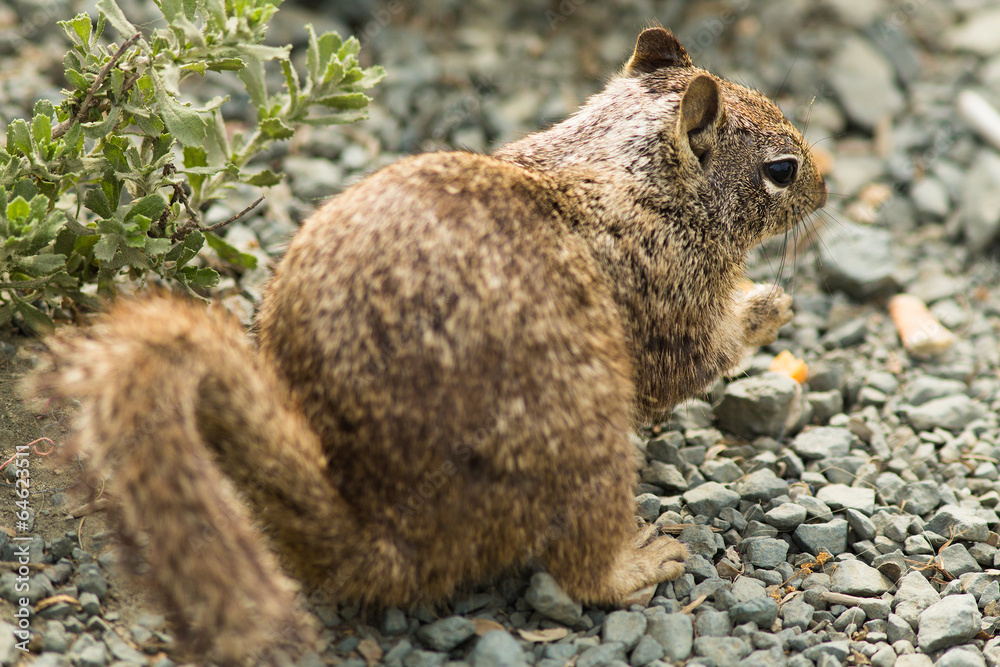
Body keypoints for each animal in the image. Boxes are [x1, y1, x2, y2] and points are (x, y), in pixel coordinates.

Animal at [31, 27, 828, 667]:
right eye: (781, 169)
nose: (827, 185)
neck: (624, 167)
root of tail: (385, 539)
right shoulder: (666, 290)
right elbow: (692, 362)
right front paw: (767, 305)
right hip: (584, 433)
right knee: (578, 567)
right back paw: (638, 560)